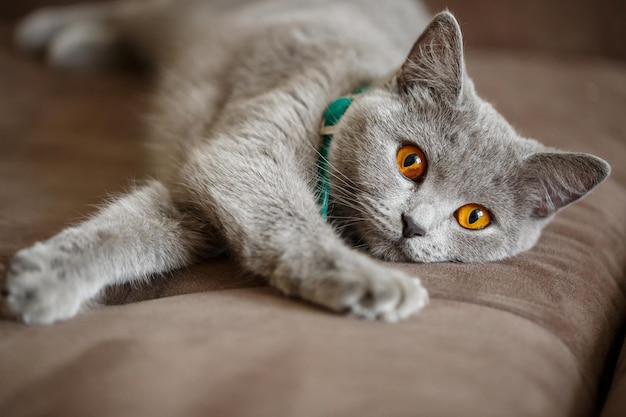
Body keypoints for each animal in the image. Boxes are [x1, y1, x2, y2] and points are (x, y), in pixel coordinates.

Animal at [3, 0, 604, 324]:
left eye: (474, 217)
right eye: (410, 161)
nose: (413, 224)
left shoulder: (199, 196)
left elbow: (128, 232)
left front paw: (40, 281)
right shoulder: (248, 154)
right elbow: (292, 223)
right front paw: (373, 283)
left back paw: (73, 42)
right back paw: (52, 31)